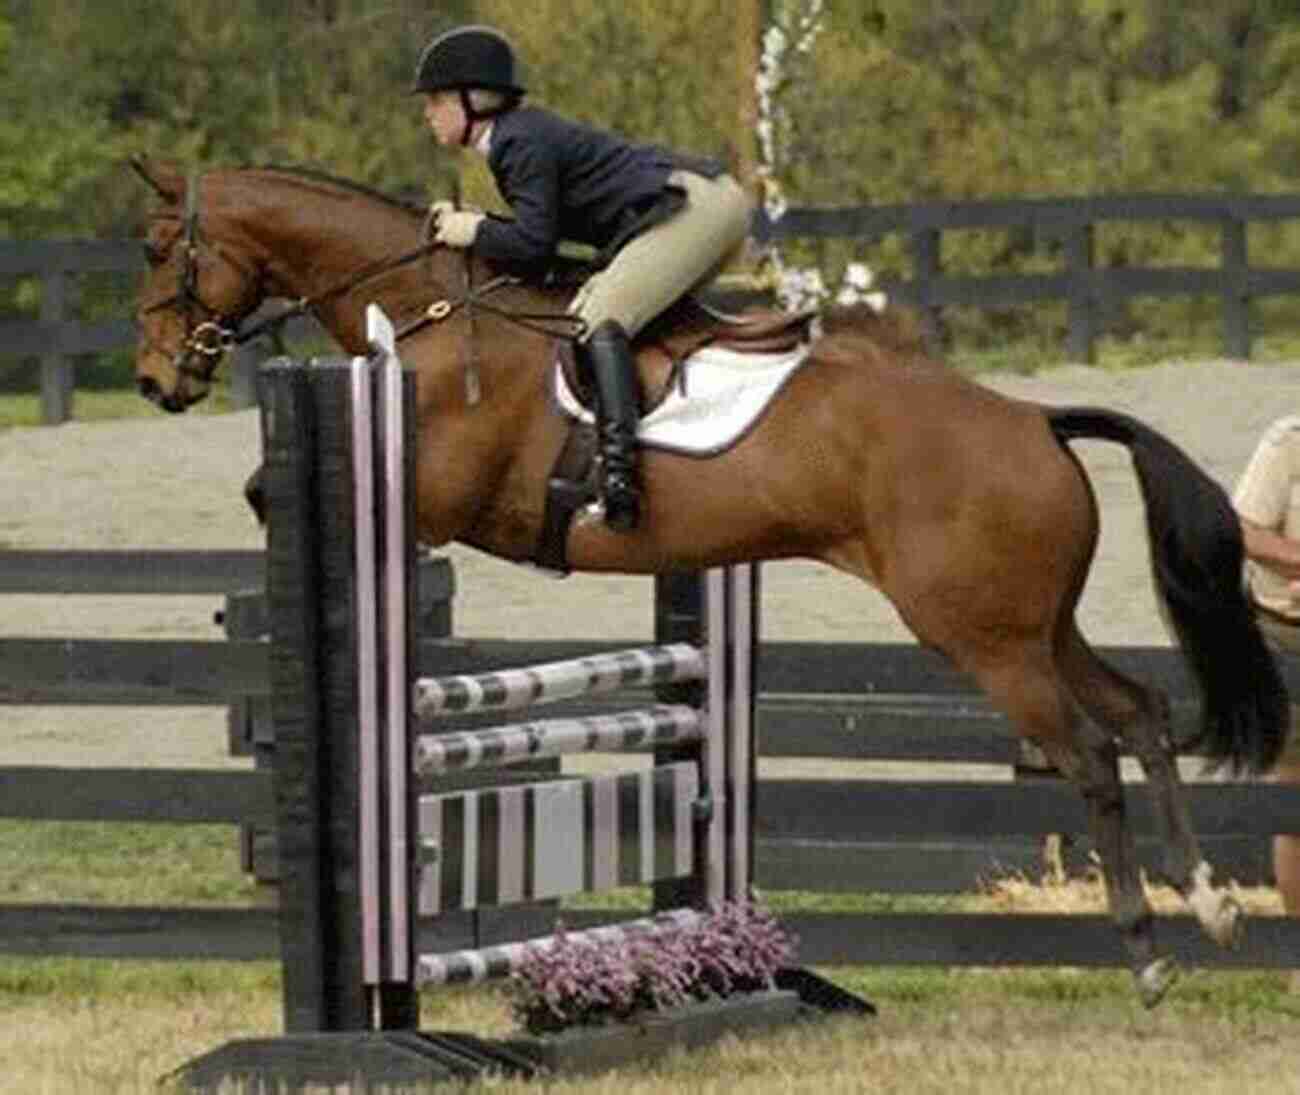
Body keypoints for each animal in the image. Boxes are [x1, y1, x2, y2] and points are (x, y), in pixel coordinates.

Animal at [131, 158, 1289, 1003]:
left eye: (155, 249)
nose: (154, 379)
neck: (424, 310)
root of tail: (1036, 421)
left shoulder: (446, 489)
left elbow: (270, 493)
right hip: (1035, 623)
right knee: (1142, 716)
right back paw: (1212, 904)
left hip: (984, 638)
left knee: (1089, 753)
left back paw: (1147, 950)